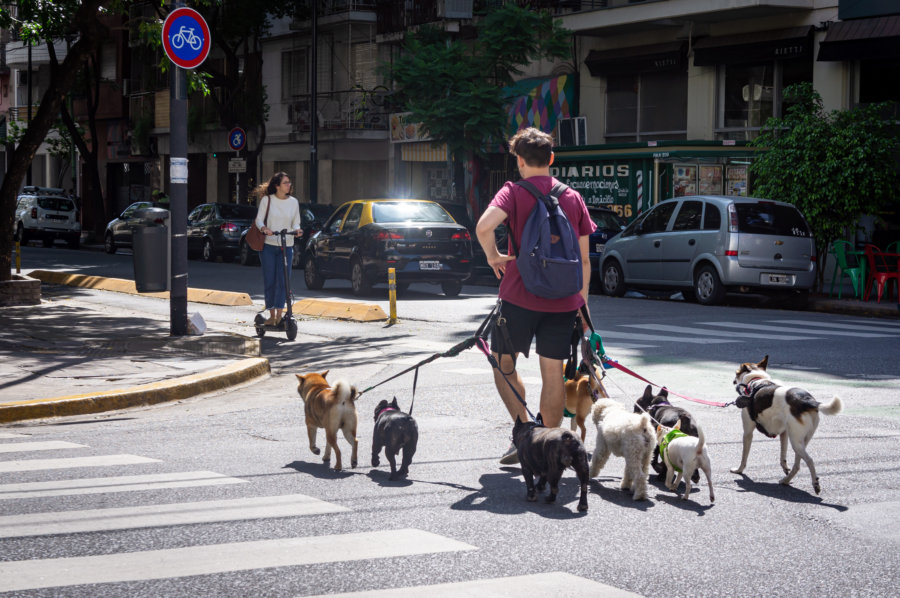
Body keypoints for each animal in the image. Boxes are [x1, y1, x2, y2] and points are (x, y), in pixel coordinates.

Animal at [732, 358, 844, 494]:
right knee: (797, 465)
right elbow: (783, 456)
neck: (756, 380)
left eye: (736, 372)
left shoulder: (748, 433)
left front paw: (739, 470)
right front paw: (785, 468)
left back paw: (815, 484)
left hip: (795, 441)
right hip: (800, 441)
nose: (733, 380)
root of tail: (806, 400)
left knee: (809, 460)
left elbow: (744, 457)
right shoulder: (784, 433)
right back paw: (786, 480)